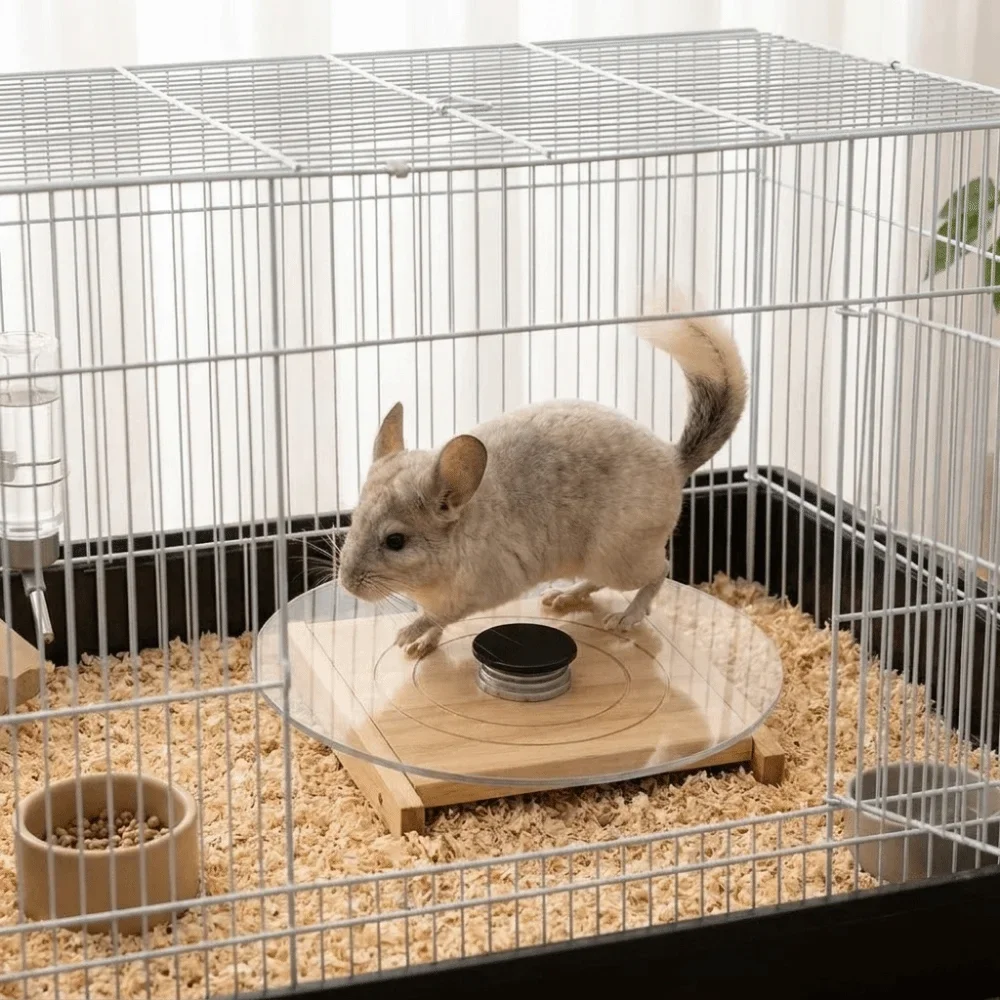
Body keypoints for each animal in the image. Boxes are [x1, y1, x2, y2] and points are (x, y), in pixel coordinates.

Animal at [337, 297, 747, 659]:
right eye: (353, 520)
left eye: (395, 541)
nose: (346, 583)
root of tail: (673, 459)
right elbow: (435, 621)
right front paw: (418, 646)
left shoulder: (476, 592)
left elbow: (438, 616)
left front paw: (405, 635)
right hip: (596, 559)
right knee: (602, 579)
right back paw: (563, 596)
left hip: (620, 557)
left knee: (660, 570)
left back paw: (624, 617)